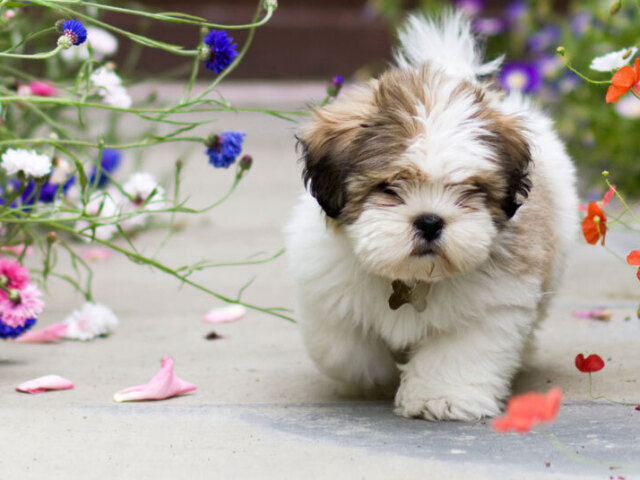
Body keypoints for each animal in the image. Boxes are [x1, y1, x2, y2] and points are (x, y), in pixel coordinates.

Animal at [282, 11, 576, 420]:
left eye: (469, 190)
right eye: (391, 186)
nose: (430, 221)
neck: (413, 277)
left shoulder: (492, 304)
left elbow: (460, 352)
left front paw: (440, 396)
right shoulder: (326, 288)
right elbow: (345, 349)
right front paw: (373, 378)